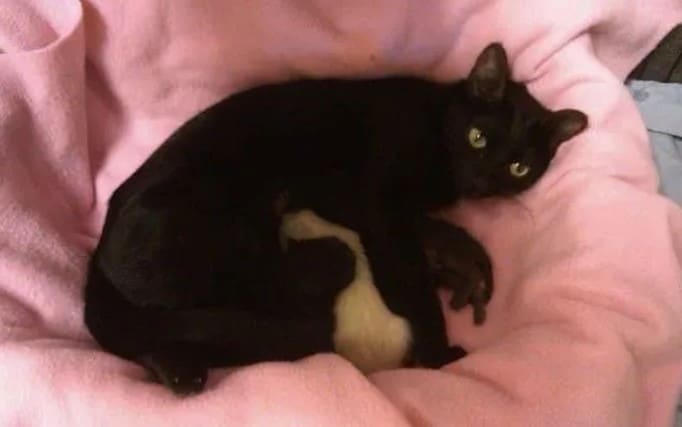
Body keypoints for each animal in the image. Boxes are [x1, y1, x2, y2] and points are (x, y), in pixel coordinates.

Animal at [83, 42, 584, 394]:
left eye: (518, 167)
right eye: (477, 137)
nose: (481, 182)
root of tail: (99, 253)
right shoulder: (383, 205)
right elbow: (409, 278)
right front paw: (436, 351)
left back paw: (179, 369)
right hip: (232, 232)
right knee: (258, 300)